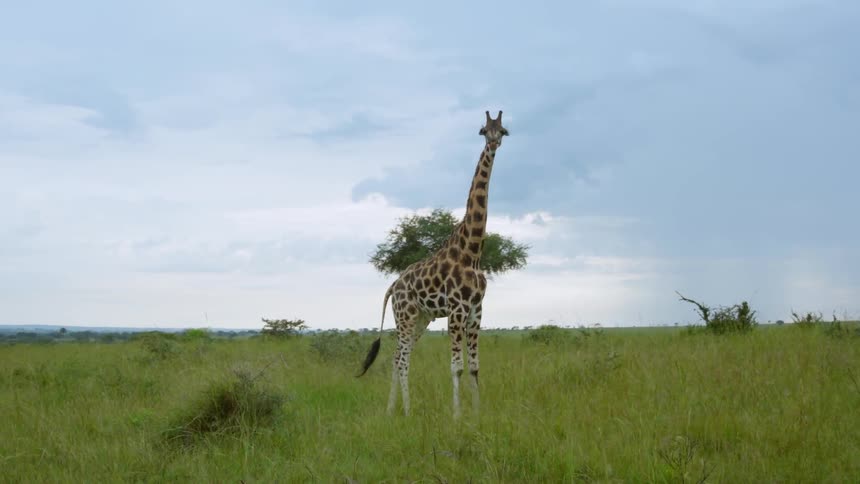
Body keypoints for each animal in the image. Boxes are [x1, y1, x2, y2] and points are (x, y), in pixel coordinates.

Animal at [357, 110, 509, 419]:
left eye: (503, 130)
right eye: (483, 130)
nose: (493, 142)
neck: (472, 250)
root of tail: (393, 285)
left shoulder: (476, 310)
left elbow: (474, 367)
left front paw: (478, 414)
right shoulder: (457, 309)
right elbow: (457, 367)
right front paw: (457, 415)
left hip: (421, 318)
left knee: (397, 356)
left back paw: (391, 410)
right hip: (404, 315)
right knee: (402, 358)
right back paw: (407, 410)